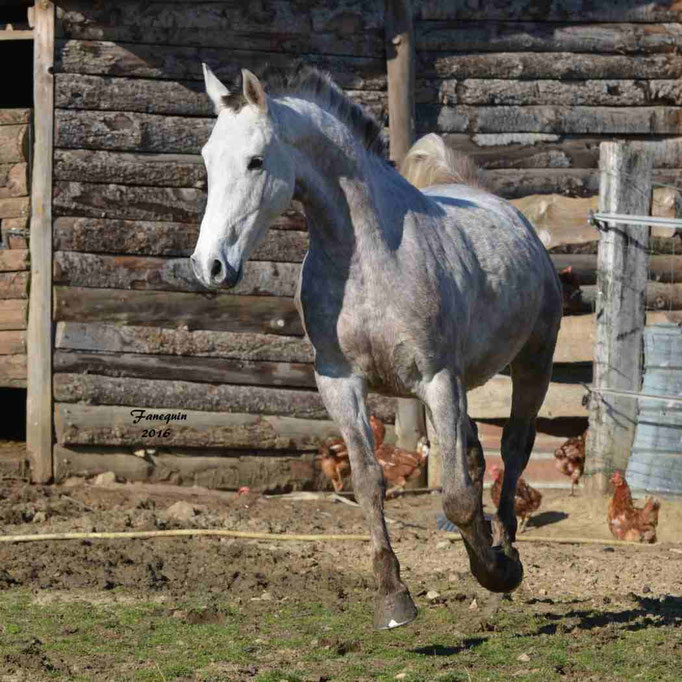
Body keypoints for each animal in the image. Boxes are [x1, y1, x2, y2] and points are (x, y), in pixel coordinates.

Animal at [189, 63, 560, 628]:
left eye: (255, 161)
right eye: (209, 158)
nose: (209, 266)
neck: (369, 257)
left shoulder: (436, 380)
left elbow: (455, 496)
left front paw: (493, 571)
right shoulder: (340, 382)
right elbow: (369, 481)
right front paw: (394, 595)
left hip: (532, 363)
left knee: (514, 450)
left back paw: (506, 554)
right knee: (475, 453)